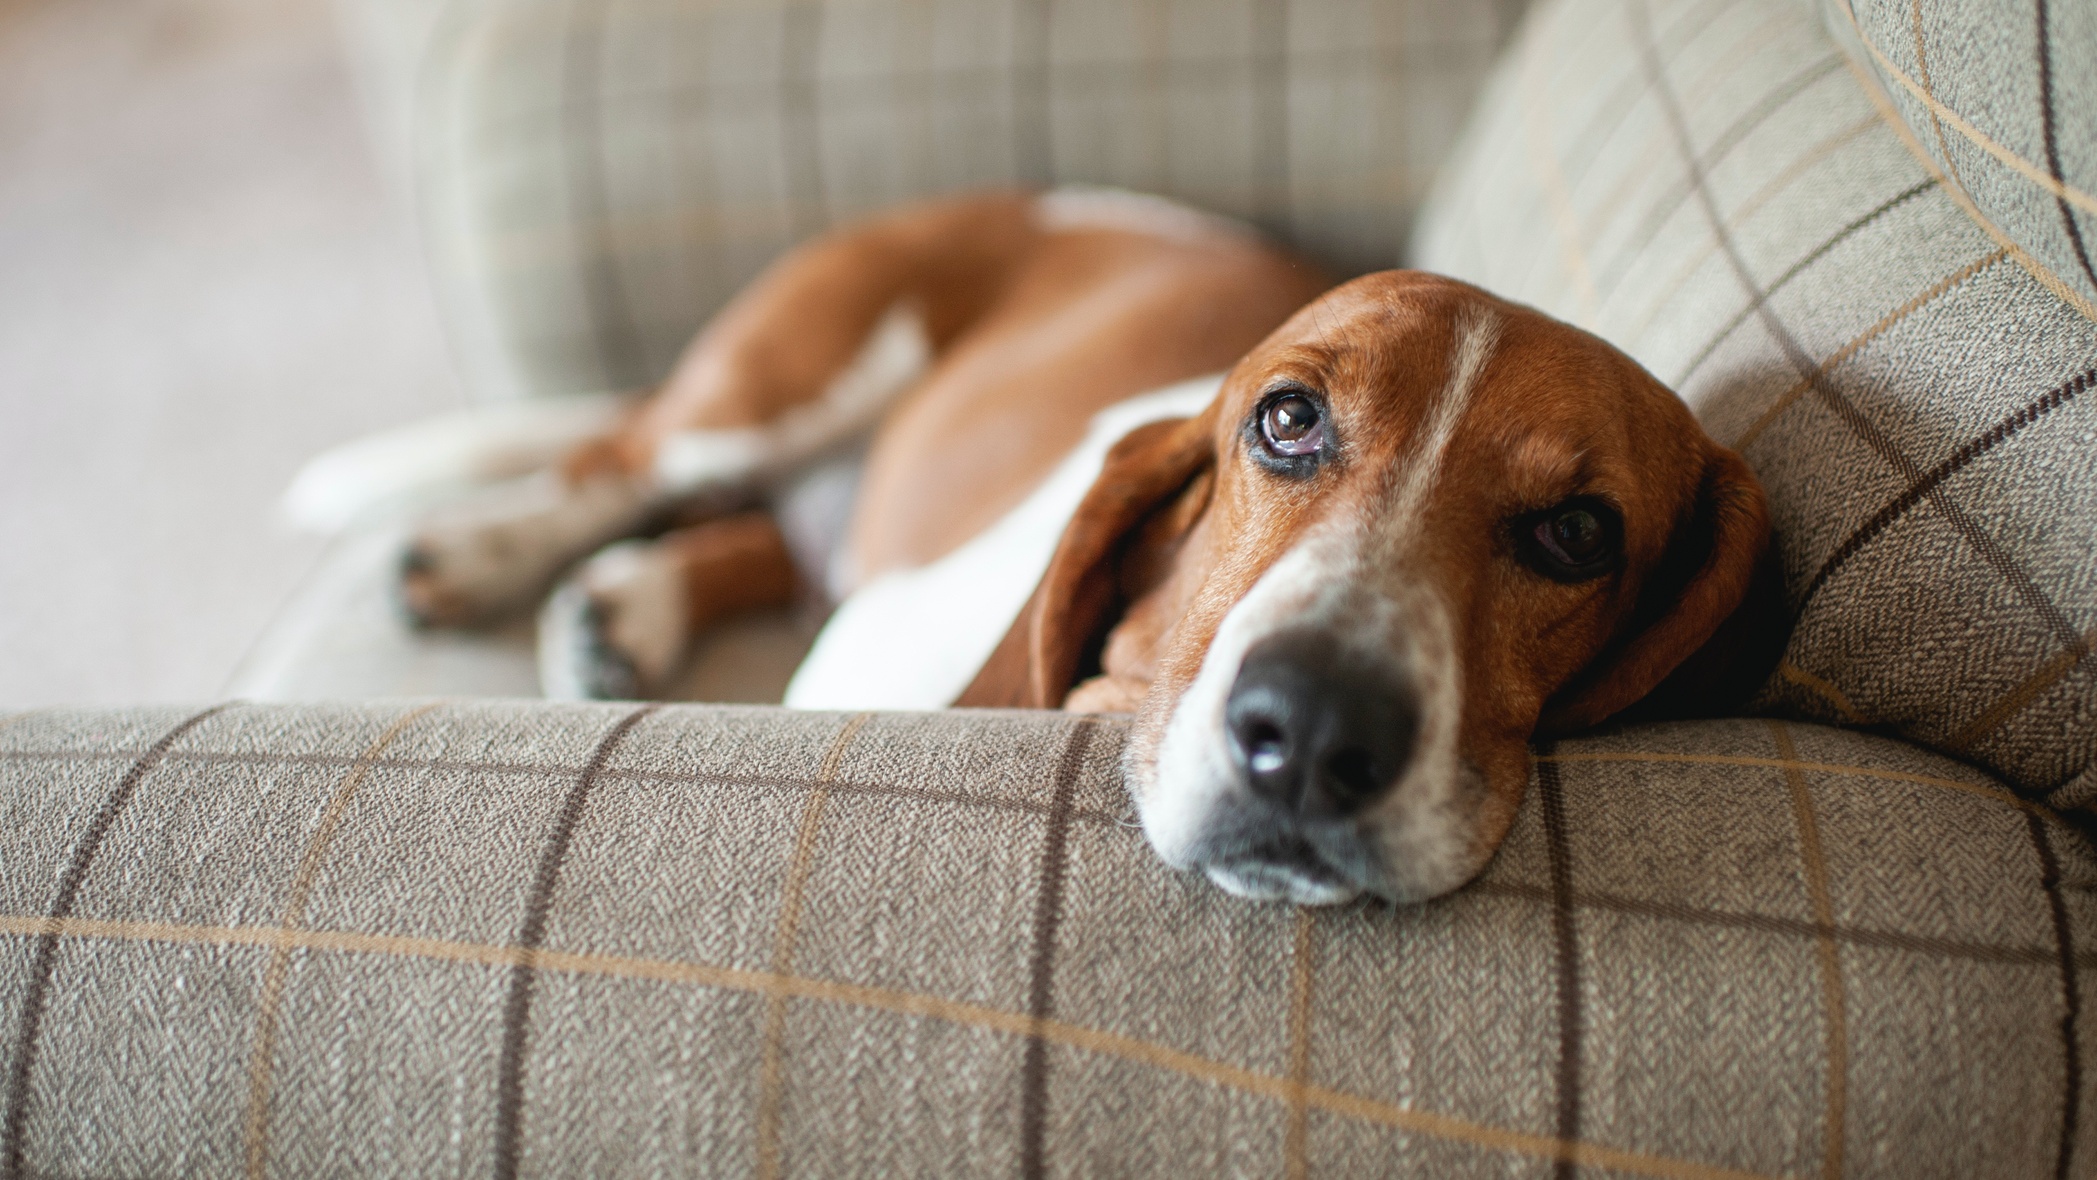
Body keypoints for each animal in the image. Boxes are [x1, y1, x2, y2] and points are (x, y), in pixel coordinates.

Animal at [385, 186, 1778, 905]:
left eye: (1578, 532)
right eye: (1287, 419)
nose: (1312, 730)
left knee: (746, 538)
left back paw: (631, 608)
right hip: (770, 383)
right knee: (612, 465)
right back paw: (481, 555)